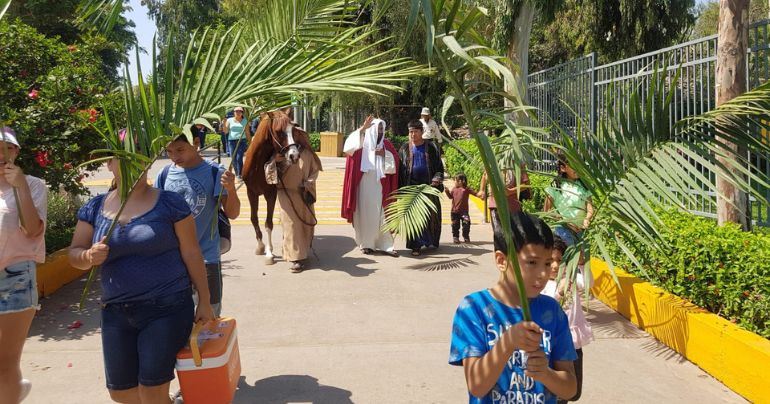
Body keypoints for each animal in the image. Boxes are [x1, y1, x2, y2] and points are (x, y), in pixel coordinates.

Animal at [243, 108, 320, 266]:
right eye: (278, 131)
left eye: (292, 130)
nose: (294, 156)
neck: (257, 166)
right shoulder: (251, 192)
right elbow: (254, 218)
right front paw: (260, 247)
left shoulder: (270, 194)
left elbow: (268, 223)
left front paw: (269, 253)